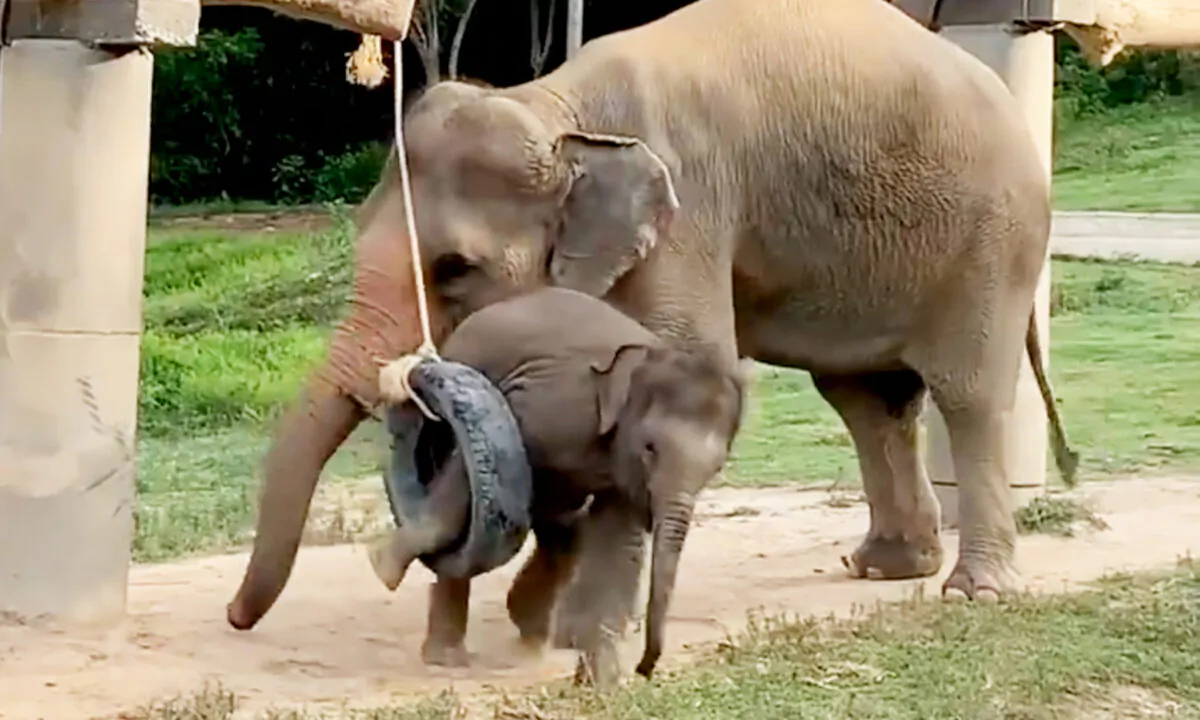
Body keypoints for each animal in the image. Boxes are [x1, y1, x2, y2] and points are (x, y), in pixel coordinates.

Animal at [226, 0, 1080, 641]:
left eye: (454, 269)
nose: (236, 618)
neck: (558, 108)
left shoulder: (688, 214)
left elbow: (682, 369)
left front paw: (570, 624)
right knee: (868, 400)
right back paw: (886, 567)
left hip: (990, 237)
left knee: (966, 391)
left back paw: (975, 591)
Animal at [366, 286, 746, 683]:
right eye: (650, 448)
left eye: (717, 467)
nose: (644, 670)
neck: (640, 359)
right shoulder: (545, 406)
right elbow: (470, 482)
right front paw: (382, 566)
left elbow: (617, 538)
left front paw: (600, 683)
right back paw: (447, 657)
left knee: (562, 534)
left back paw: (531, 637)